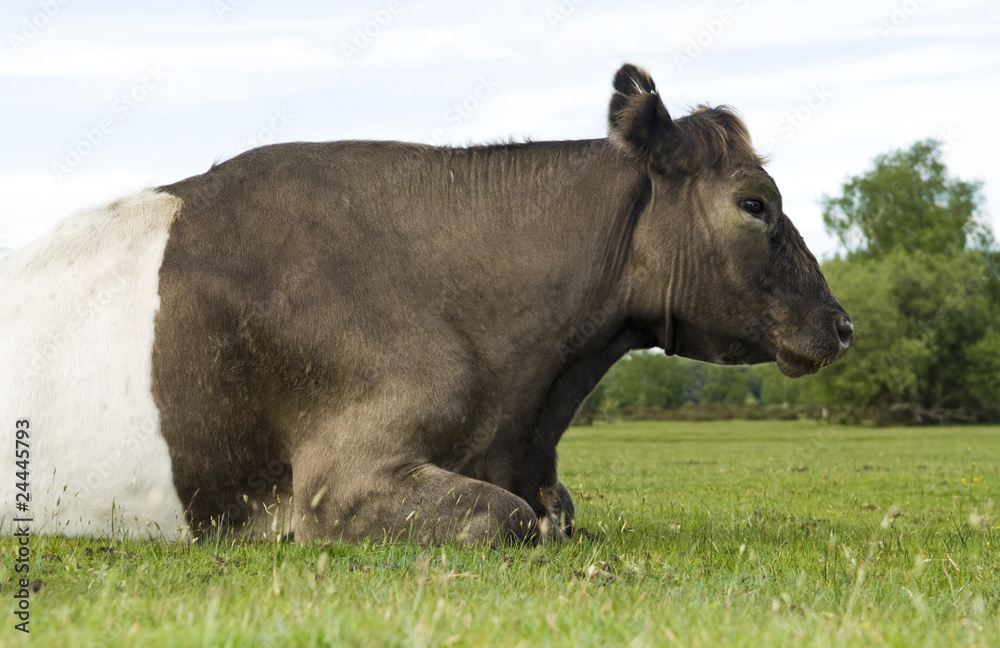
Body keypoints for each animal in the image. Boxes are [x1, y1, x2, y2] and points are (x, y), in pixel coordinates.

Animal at [0, 64, 851, 544]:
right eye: (755, 203)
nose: (842, 325)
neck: (526, 414)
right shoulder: (337, 484)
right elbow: (511, 519)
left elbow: (556, 509)